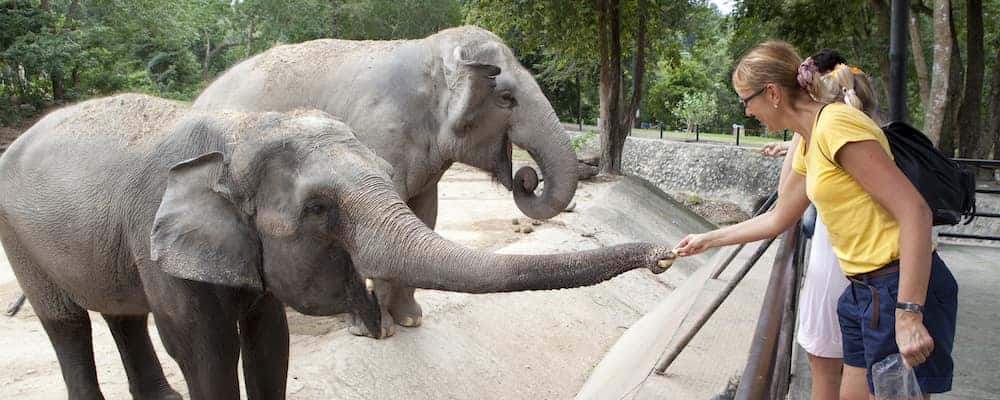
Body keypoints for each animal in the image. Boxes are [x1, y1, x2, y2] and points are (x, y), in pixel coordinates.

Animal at [0, 92, 676, 398]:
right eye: (320, 210)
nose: (664, 255)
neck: (239, 133)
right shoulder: (158, 238)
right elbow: (203, 347)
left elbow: (269, 340)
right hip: (19, 238)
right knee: (67, 323)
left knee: (122, 314)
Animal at [192, 25, 580, 334]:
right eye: (506, 98)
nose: (527, 178)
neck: (431, 53)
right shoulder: (378, 134)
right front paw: (379, 329)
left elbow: (425, 215)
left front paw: (410, 320)